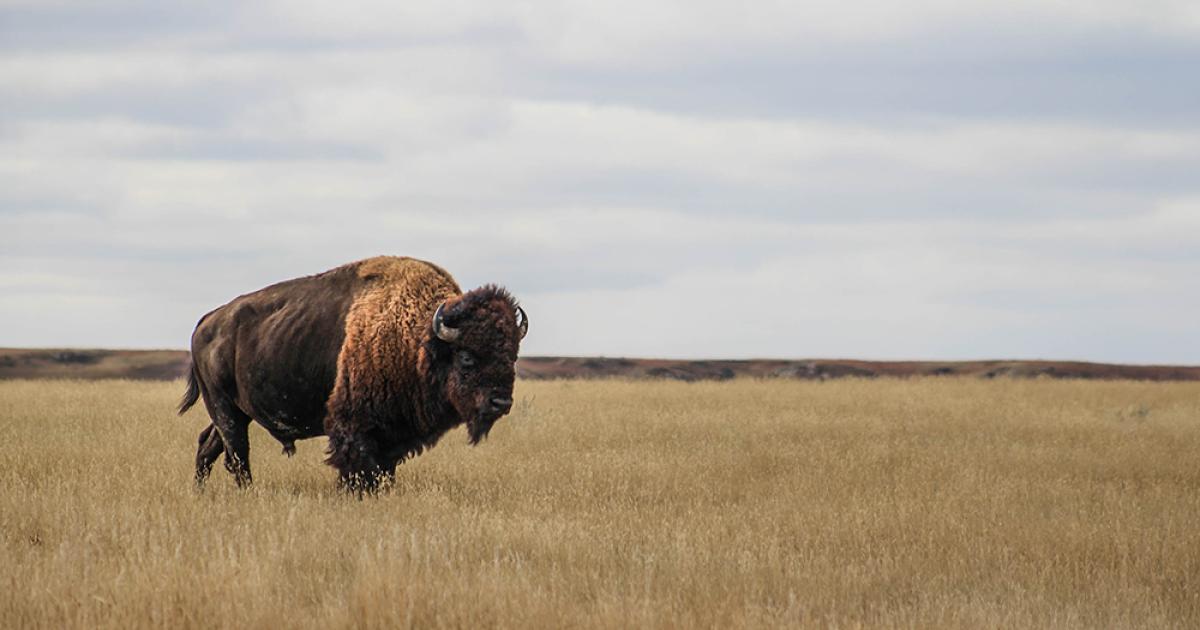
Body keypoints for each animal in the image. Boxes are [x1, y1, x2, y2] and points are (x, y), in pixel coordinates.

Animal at [178, 256, 528, 493]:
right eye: (467, 356)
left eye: (511, 356)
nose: (500, 402)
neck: (419, 339)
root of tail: (207, 322)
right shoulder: (354, 429)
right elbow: (359, 471)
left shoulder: (391, 437)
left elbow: (383, 472)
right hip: (223, 407)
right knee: (236, 453)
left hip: (236, 410)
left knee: (209, 444)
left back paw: (201, 492)